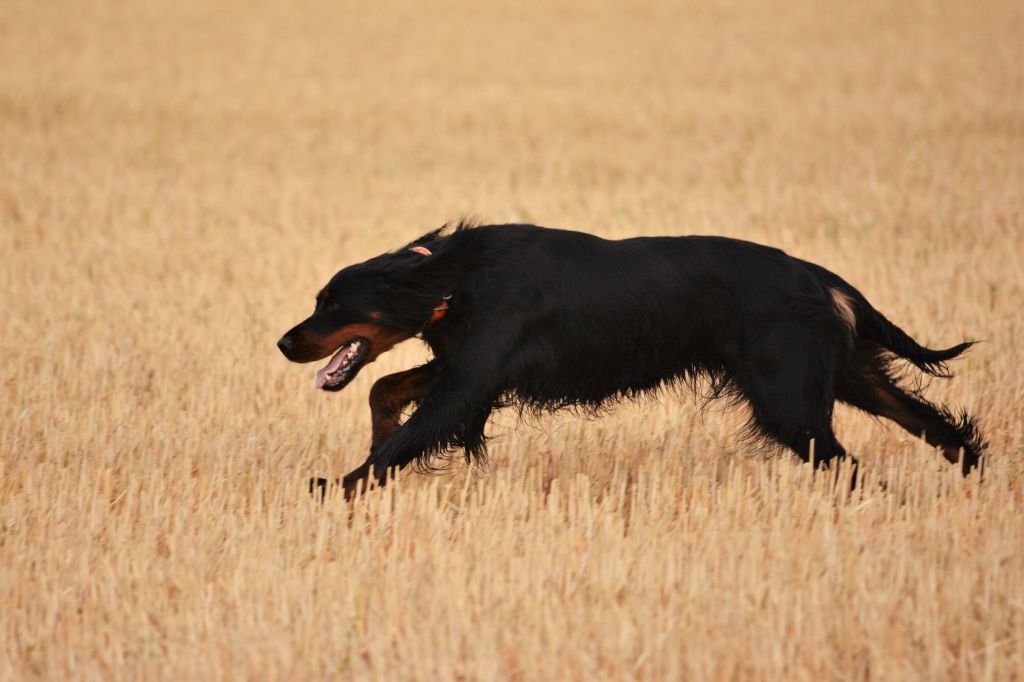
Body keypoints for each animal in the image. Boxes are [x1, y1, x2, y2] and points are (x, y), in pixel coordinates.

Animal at [278, 223, 983, 493]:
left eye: (331, 303)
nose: (286, 342)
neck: (454, 277)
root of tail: (817, 275)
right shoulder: (468, 369)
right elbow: (384, 392)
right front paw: (375, 438)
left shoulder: (470, 382)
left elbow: (404, 440)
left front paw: (338, 485)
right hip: (838, 376)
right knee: (931, 423)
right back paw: (972, 473)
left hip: (787, 398)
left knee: (847, 462)